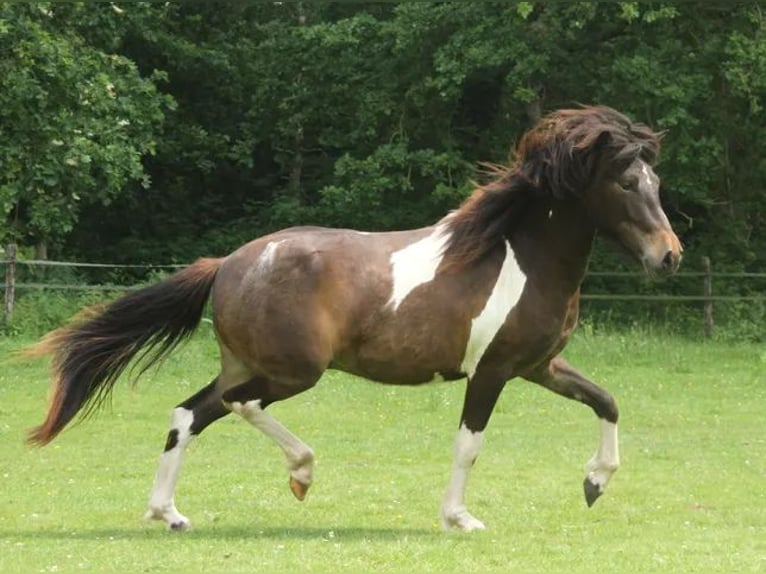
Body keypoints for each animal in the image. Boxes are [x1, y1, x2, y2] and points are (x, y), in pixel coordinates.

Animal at [27, 105, 682, 532]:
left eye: (657, 180)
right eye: (629, 182)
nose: (669, 256)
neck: (519, 258)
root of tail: (230, 264)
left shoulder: (539, 365)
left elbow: (606, 402)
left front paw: (595, 483)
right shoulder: (491, 371)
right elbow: (469, 446)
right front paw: (460, 518)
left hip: (246, 364)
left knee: (190, 414)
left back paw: (169, 513)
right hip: (294, 371)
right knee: (240, 405)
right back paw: (301, 473)